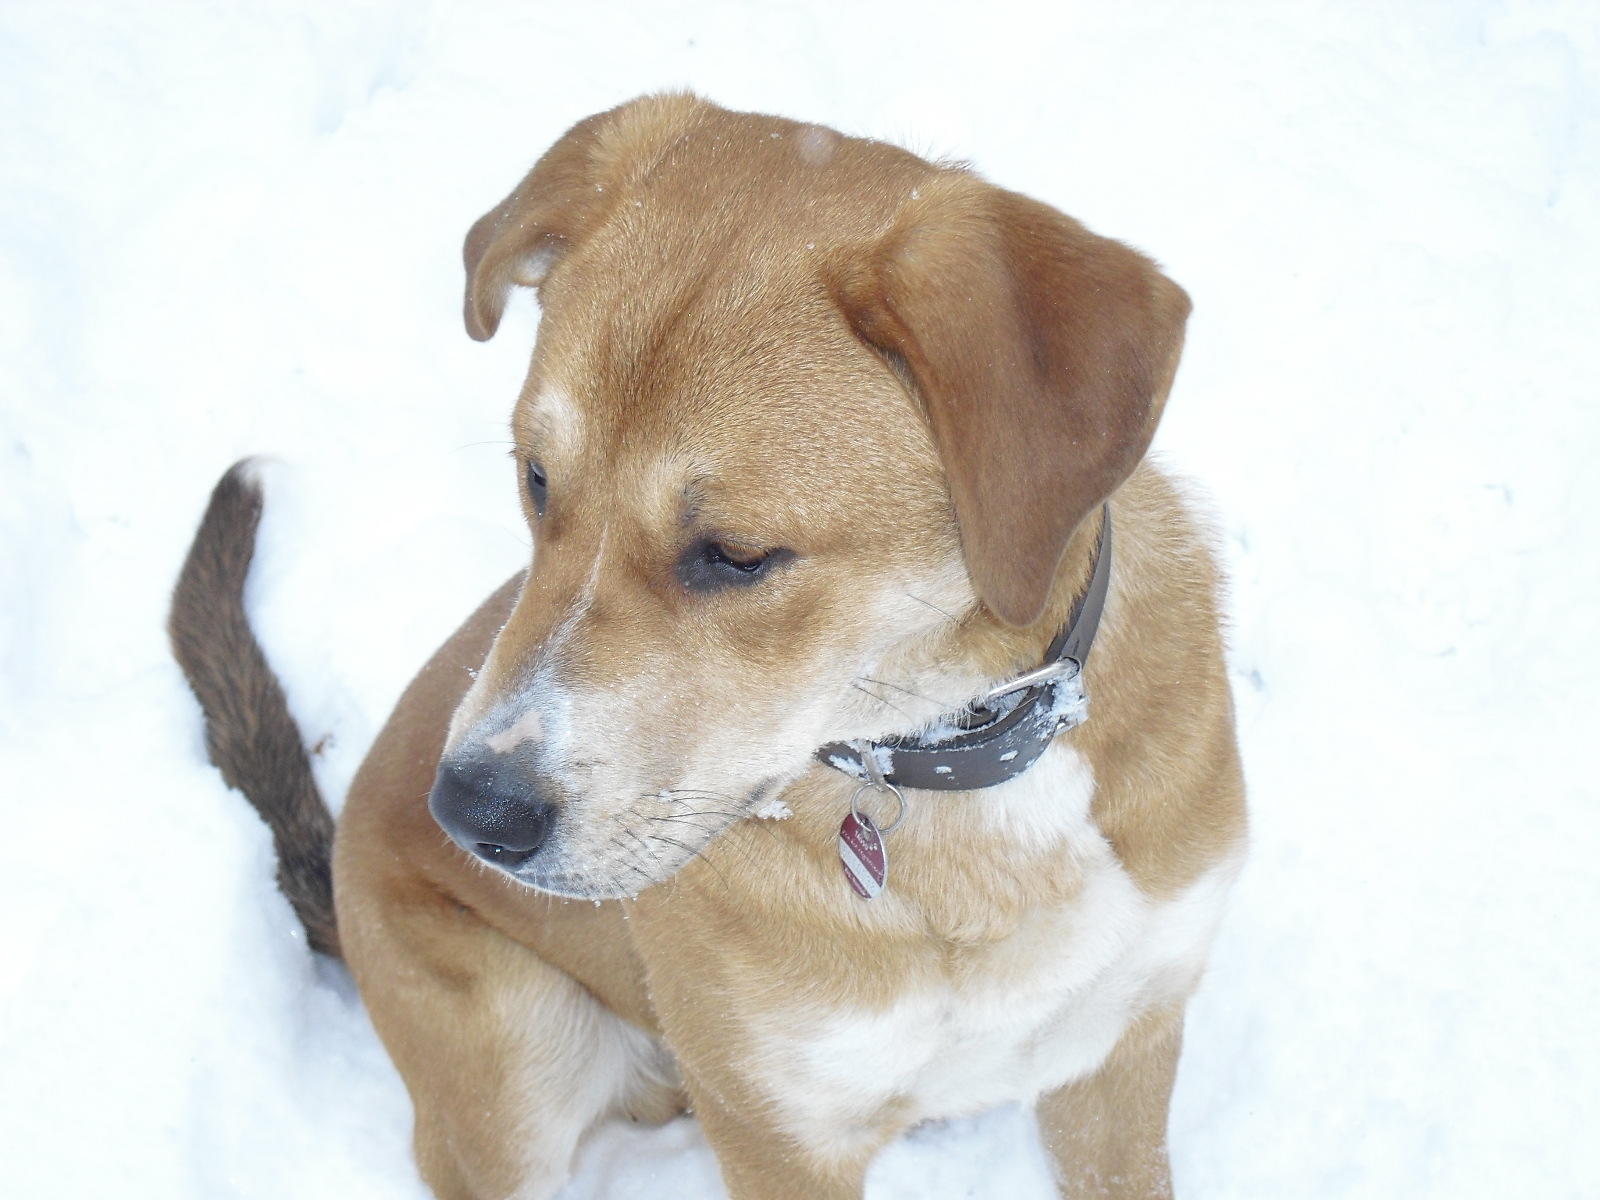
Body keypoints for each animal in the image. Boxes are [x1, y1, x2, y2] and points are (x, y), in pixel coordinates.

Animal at [175, 94, 1248, 1200]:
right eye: (536, 479)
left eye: (735, 555)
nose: (471, 816)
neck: (961, 767)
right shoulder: (778, 1127)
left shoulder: (1123, 1048)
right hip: (514, 1061)